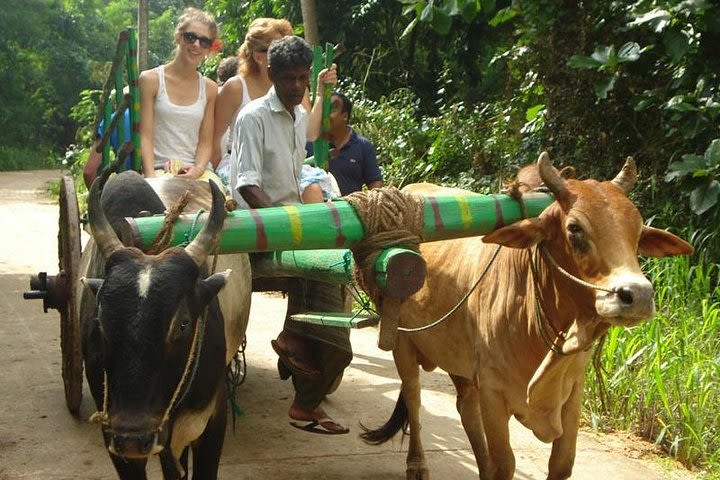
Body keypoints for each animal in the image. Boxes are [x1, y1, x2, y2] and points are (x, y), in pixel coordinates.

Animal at [362, 154, 696, 480]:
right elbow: (504, 465)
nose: (637, 295)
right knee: (414, 397)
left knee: (465, 407)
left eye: (638, 232)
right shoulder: (494, 393)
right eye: (574, 229)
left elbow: (562, 463)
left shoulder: (572, 391)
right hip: (403, 344)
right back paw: (417, 464)